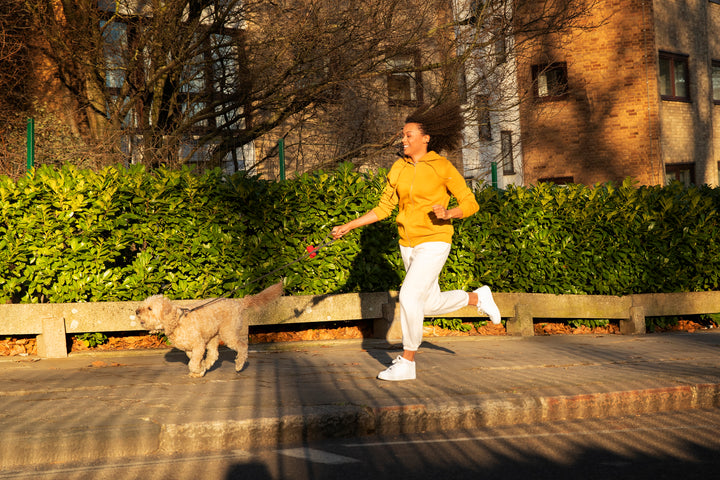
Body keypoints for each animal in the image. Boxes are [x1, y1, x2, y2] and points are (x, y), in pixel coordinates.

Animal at [135, 284, 282, 376]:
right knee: (214, 354)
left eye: (149, 308)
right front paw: (201, 369)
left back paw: (239, 365)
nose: (137, 311)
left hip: (228, 333)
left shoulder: (198, 345)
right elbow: (195, 359)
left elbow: (193, 363)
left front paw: (197, 370)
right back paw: (208, 364)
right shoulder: (190, 349)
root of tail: (239, 303)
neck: (177, 321)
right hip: (213, 336)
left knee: (242, 346)